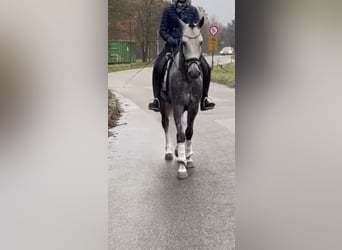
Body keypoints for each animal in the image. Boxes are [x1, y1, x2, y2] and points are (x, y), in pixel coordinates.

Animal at [161, 16, 206, 179]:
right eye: (183, 43)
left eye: (201, 42)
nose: (194, 72)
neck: (187, 78)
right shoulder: (177, 106)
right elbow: (180, 134)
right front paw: (182, 167)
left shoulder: (193, 107)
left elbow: (188, 132)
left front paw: (188, 158)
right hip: (164, 106)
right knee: (166, 125)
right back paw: (169, 152)